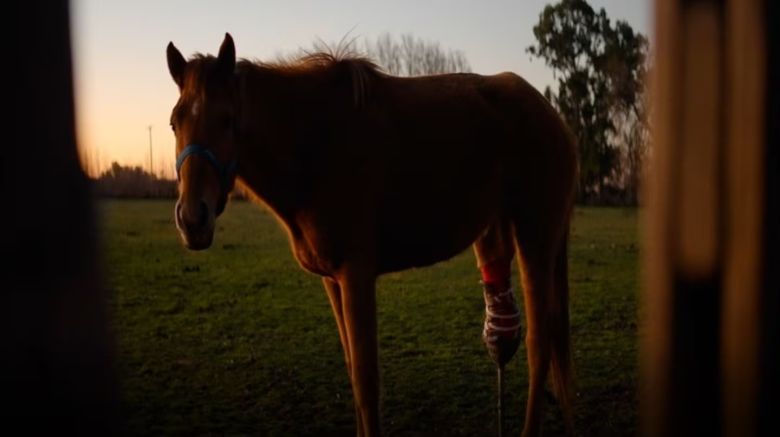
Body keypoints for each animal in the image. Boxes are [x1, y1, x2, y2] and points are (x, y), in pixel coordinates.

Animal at [166, 32, 580, 434]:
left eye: (226, 120)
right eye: (174, 123)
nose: (192, 218)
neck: (317, 146)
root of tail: (554, 117)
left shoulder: (357, 276)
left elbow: (367, 385)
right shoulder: (332, 280)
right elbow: (354, 377)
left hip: (536, 240)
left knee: (540, 347)